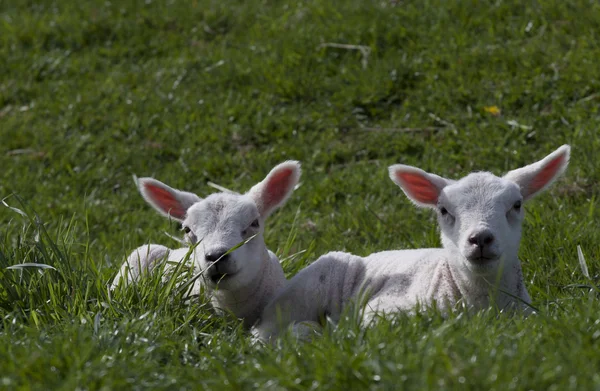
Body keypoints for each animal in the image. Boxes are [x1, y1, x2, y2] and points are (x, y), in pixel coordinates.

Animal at [254, 145, 572, 342]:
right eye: (443, 211)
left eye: (516, 205)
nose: (480, 239)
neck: (481, 301)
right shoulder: (382, 312)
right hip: (299, 293)